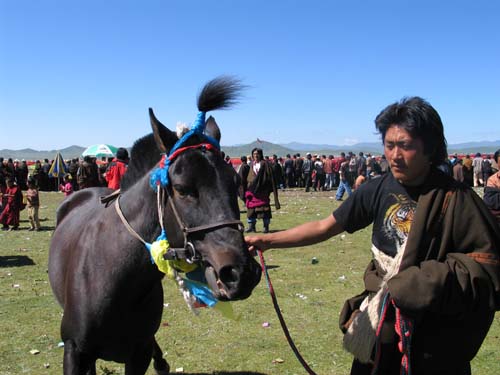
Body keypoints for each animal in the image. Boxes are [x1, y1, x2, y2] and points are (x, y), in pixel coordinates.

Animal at [48, 77, 262, 375]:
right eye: (182, 189)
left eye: (236, 182)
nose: (241, 274)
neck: (115, 277)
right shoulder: (75, 352)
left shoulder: (138, 354)